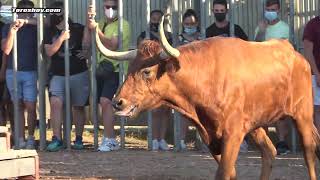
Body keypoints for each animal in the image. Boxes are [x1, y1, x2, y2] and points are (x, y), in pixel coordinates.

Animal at [94, 17, 320, 180]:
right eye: (130, 68)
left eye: (147, 71)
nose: (117, 102)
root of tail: (295, 55)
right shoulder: (211, 138)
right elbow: (229, 172)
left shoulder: (232, 135)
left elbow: (224, 173)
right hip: (255, 124)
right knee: (269, 151)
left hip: (303, 115)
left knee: (309, 154)